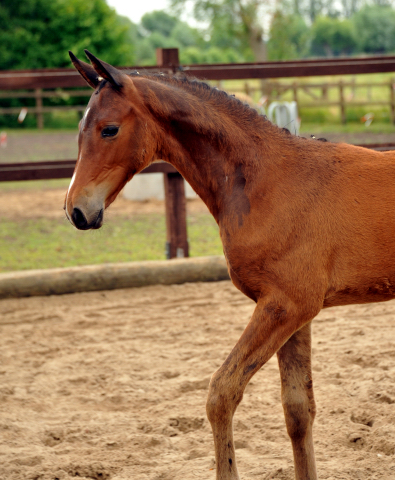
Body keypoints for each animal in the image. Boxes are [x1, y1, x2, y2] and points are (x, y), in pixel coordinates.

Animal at [65, 50, 395, 478]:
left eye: (109, 129)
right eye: (80, 130)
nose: (76, 210)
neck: (267, 180)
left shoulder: (285, 306)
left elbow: (221, 393)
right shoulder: (297, 313)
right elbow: (297, 409)